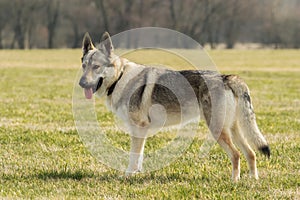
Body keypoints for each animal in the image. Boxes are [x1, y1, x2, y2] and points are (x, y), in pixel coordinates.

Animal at [78, 31, 270, 181]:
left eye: (96, 67)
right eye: (84, 66)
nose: (81, 83)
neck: (119, 78)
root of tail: (227, 77)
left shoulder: (138, 128)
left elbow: (133, 157)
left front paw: (127, 176)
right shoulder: (141, 130)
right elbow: (139, 156)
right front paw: (137, 174)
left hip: (217, 131)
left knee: (236, 155)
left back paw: (234, 181)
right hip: (233, 130)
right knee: (251, 154)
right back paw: (252, 180)